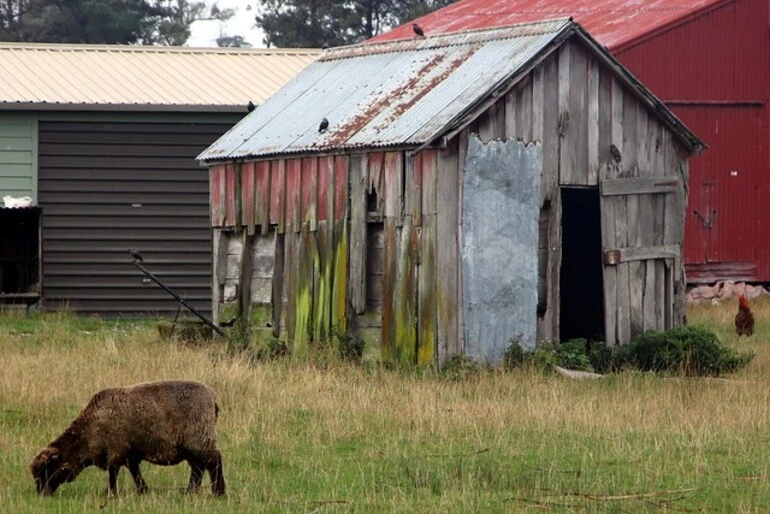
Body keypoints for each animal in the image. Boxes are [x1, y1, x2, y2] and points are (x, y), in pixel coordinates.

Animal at [31, 378, 224, 494]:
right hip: (192, 445)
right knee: (198, 468)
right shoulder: (130, 452)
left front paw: (111, 493)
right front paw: (143, 490)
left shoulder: (115, 450)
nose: (41, 494)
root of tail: (212, 397)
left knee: (214, 462)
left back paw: (219, 492)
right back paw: (190, 491)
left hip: (201, 438)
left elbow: (113, 472)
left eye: (47, 470)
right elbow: (134, 471)